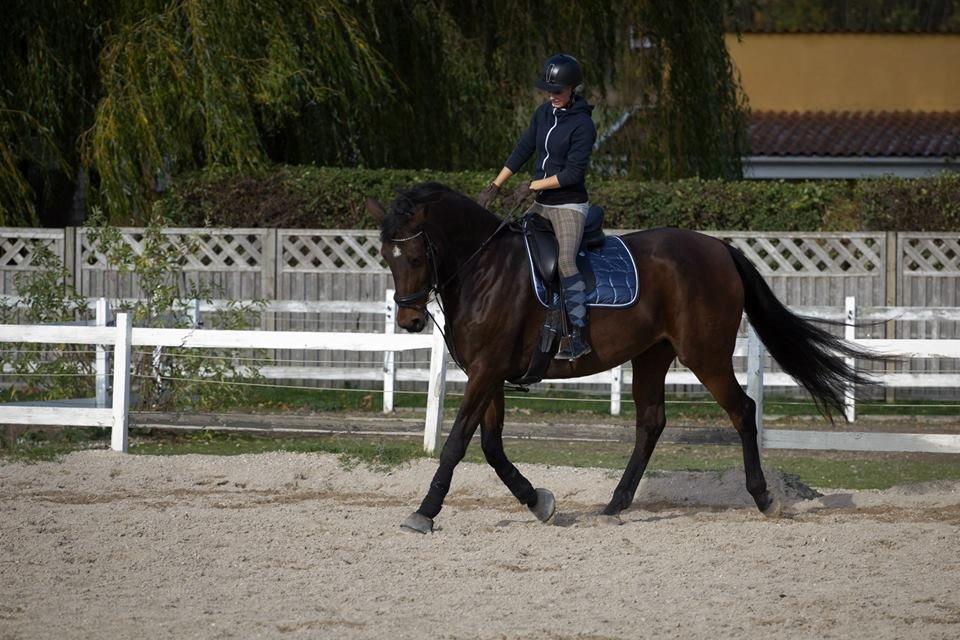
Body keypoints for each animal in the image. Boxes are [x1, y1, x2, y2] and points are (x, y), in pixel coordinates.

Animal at [368, 182, 876, 532]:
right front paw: (539, 502)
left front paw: (424, 513)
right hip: (652, 355)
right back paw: (615, 504)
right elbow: (492, 448)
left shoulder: (486, 371)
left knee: (742, 410)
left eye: (416, 254)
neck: (485, 269)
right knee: (651, 422)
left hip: (705, 354)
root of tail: (719, 247)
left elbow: (456, 443)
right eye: (386, 256)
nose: (410, 320)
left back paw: (764, 497)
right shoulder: (487, 373)